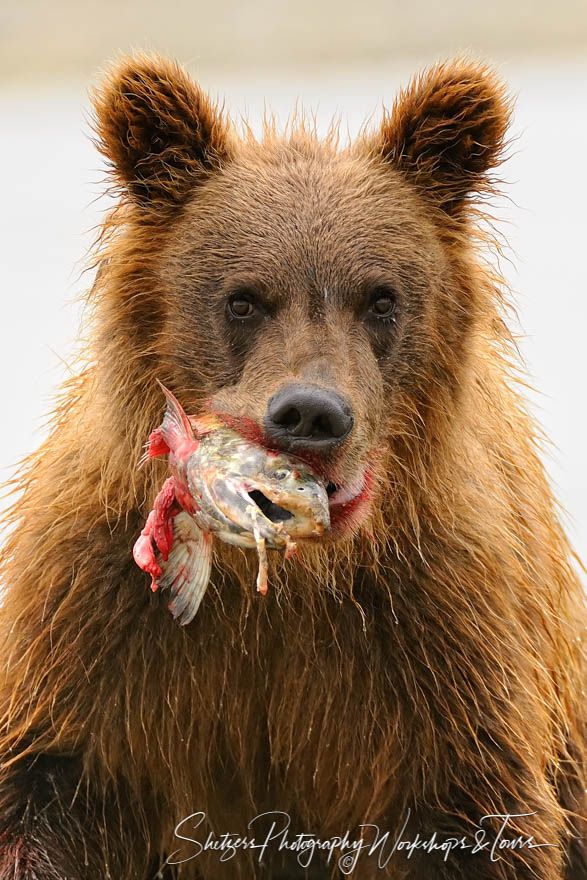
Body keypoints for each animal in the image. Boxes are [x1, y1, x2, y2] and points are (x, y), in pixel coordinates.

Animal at [0, 55, 584, 880]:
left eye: (381, 298)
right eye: (243, 299)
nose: (310, 414)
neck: (289, 586)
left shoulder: (439, 648)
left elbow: (470, 825)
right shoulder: (96, 626)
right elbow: (48, 794)